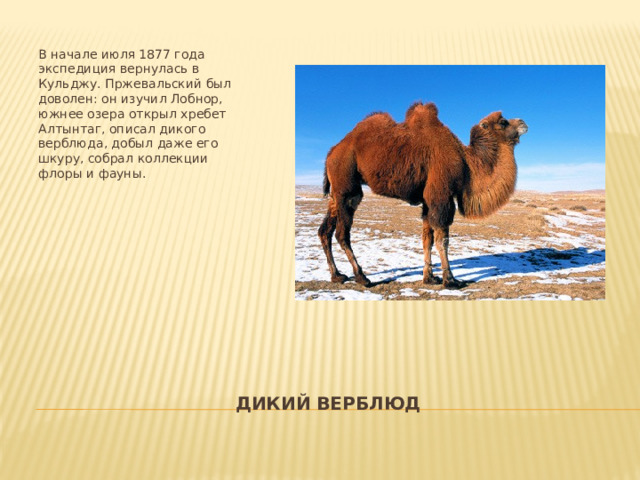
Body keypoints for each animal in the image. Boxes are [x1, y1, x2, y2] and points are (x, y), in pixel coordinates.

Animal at [318, 101, 528, 288]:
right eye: (503, 122)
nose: (523, 122)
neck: (466, 162)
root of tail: (331, 153)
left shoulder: (429, 199)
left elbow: (427, 238)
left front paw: (430, 278)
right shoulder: (441, 195)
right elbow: (443, 239)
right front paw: (450, 280)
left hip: (336, 192)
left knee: (324, 231)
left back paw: (337, 275)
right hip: (348, 186)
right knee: (342, 233)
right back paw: (362, 277)